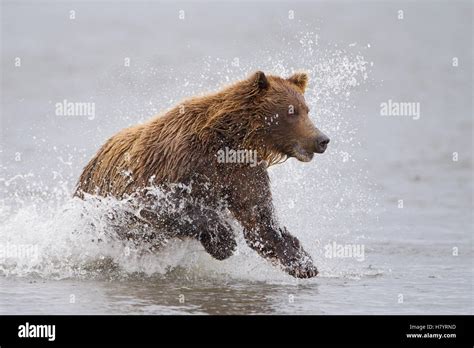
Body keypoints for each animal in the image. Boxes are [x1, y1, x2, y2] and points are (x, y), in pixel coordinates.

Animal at [76, 72, 332, 278]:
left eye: (306, 109)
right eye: (291, 112)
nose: (322, 139)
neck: (230, 142)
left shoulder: (244, 172)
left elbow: (258, 217)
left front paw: (302, 262)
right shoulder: (176, 165)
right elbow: (159, 206)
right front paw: (224, 241)